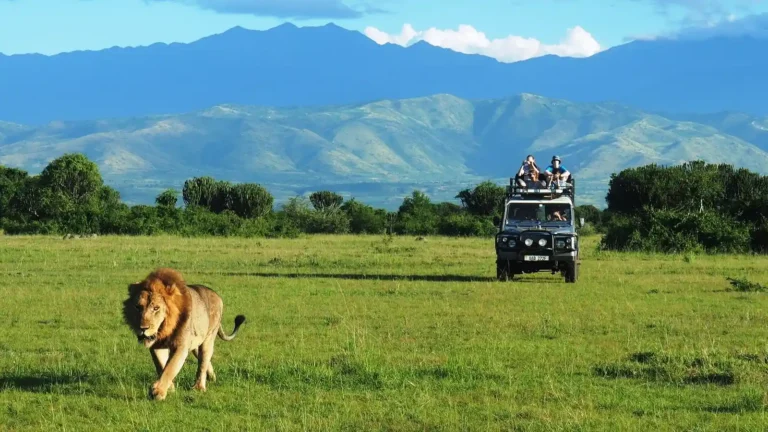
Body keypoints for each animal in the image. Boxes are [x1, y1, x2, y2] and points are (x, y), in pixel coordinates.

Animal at [122, 267, 246, 400]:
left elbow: (170, 368)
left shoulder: (180, 346)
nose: (143, 328)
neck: (164, 328)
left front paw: (158, 392)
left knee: (203, 363)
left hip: (208, 338)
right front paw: (169, 387)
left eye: (156, 308)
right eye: (138, 307)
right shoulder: (156, 346)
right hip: (195, 344)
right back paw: (212, 377)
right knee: (204, 360)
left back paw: (199, 387)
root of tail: (216, 295)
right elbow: (161, 365)